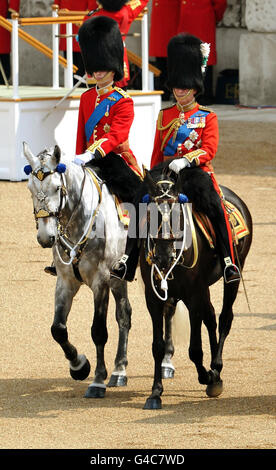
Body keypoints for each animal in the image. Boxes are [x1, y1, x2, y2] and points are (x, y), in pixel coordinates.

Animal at [140, 165, 252, 408]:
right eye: (149, 214)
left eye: (178, 215)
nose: (163, 257)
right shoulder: (153, 299)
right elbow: (157, 346)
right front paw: (155, 392)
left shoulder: (193, 296)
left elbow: (194, 349)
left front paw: (208, 377)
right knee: (210, 317)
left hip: (232, 276)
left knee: (224, 318)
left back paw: (216, 369)